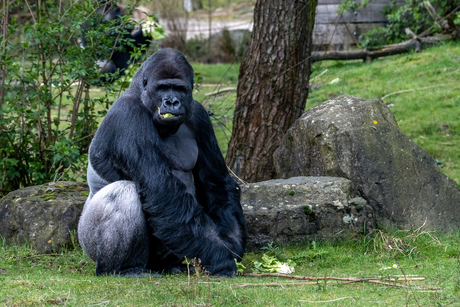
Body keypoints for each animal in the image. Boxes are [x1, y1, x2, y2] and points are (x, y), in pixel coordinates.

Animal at [77, 48, 246, 280]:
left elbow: (216, 182)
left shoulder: (199, 115)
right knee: (124, 192)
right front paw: (221, 258)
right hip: (87, 241)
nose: (172, 102)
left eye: (179, 89)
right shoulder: (128, 117)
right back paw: (123, 268)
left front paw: (232, 244)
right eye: (163, 87)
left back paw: (174, 266)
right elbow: (162, 191)